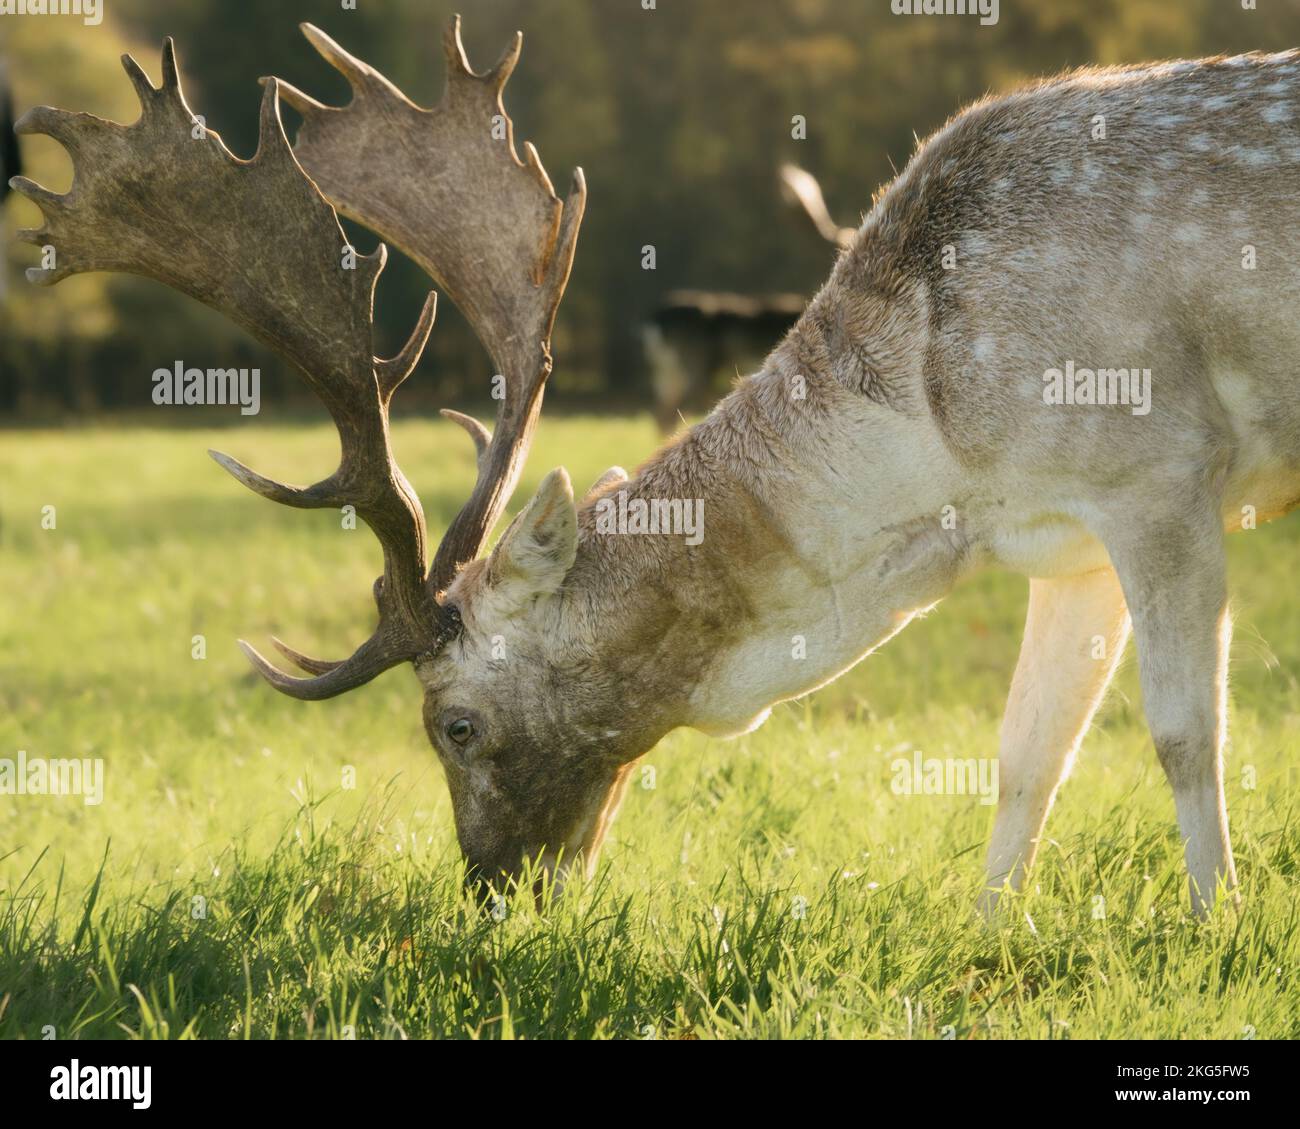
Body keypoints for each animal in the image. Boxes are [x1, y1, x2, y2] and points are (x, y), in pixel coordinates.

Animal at [17, 22, 1289, 910]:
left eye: (454, 725)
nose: (492, 896)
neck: (943, 442)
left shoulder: (1162, 470)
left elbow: (1186, 733)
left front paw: (1215, 923)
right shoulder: (1062, 539)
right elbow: (1028, 752)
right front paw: (988, 926)